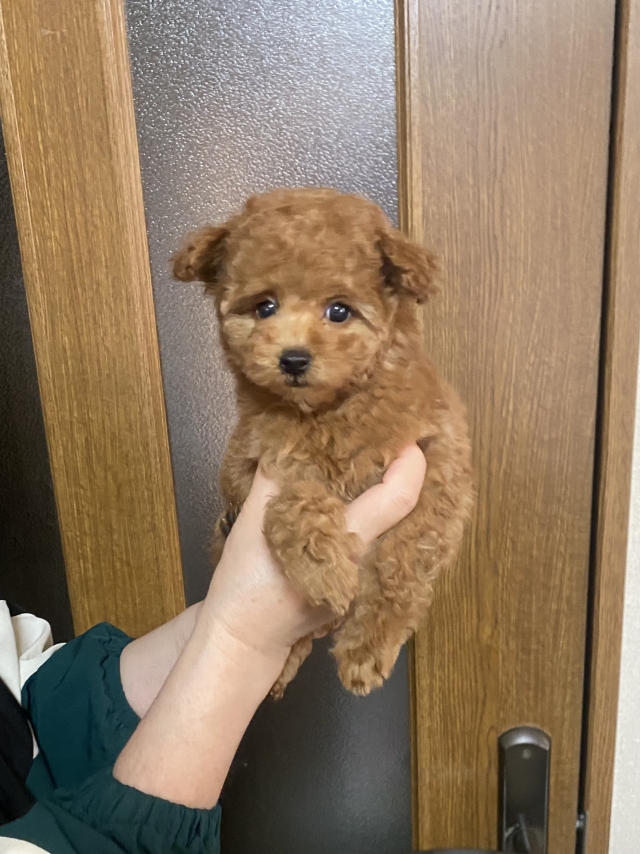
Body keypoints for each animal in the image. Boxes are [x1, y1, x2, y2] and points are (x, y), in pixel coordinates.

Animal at [173, 187, 473, 697]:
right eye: (264, 307)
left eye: (339, 311)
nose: (293, 359)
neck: (331, 410)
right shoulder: (256, 464)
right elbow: (295, 504)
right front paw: (326, 572)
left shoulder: (439, 466)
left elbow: (403, 560)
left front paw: (365, 650)